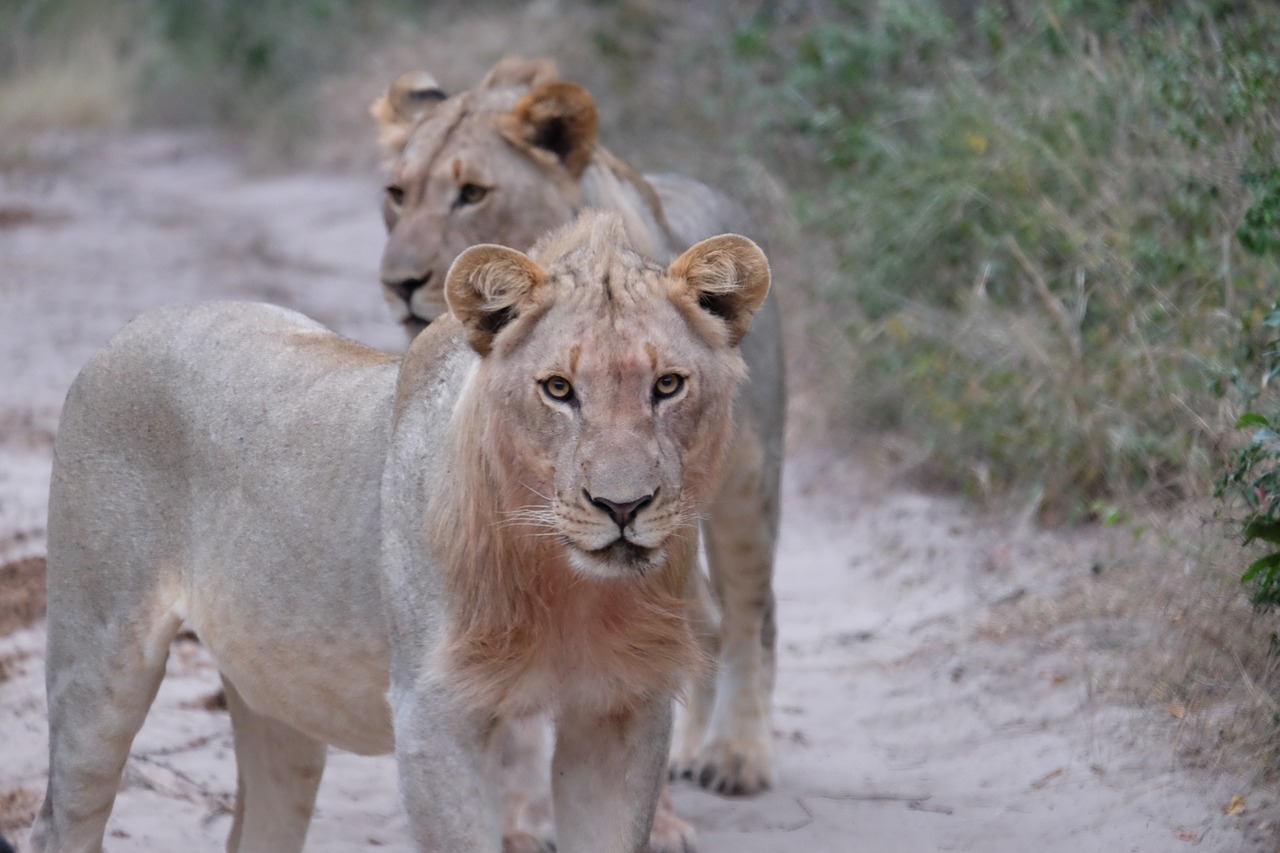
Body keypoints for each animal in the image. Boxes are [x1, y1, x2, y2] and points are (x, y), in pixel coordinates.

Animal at [32, 207, 768, 850]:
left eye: (668, 385)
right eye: (558, 389)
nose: (622, 506)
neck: (568, 589)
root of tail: (129, 329)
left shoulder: (623, 710)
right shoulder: (435, 717)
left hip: (278, 700)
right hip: (99, 661)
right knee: (59, 822)